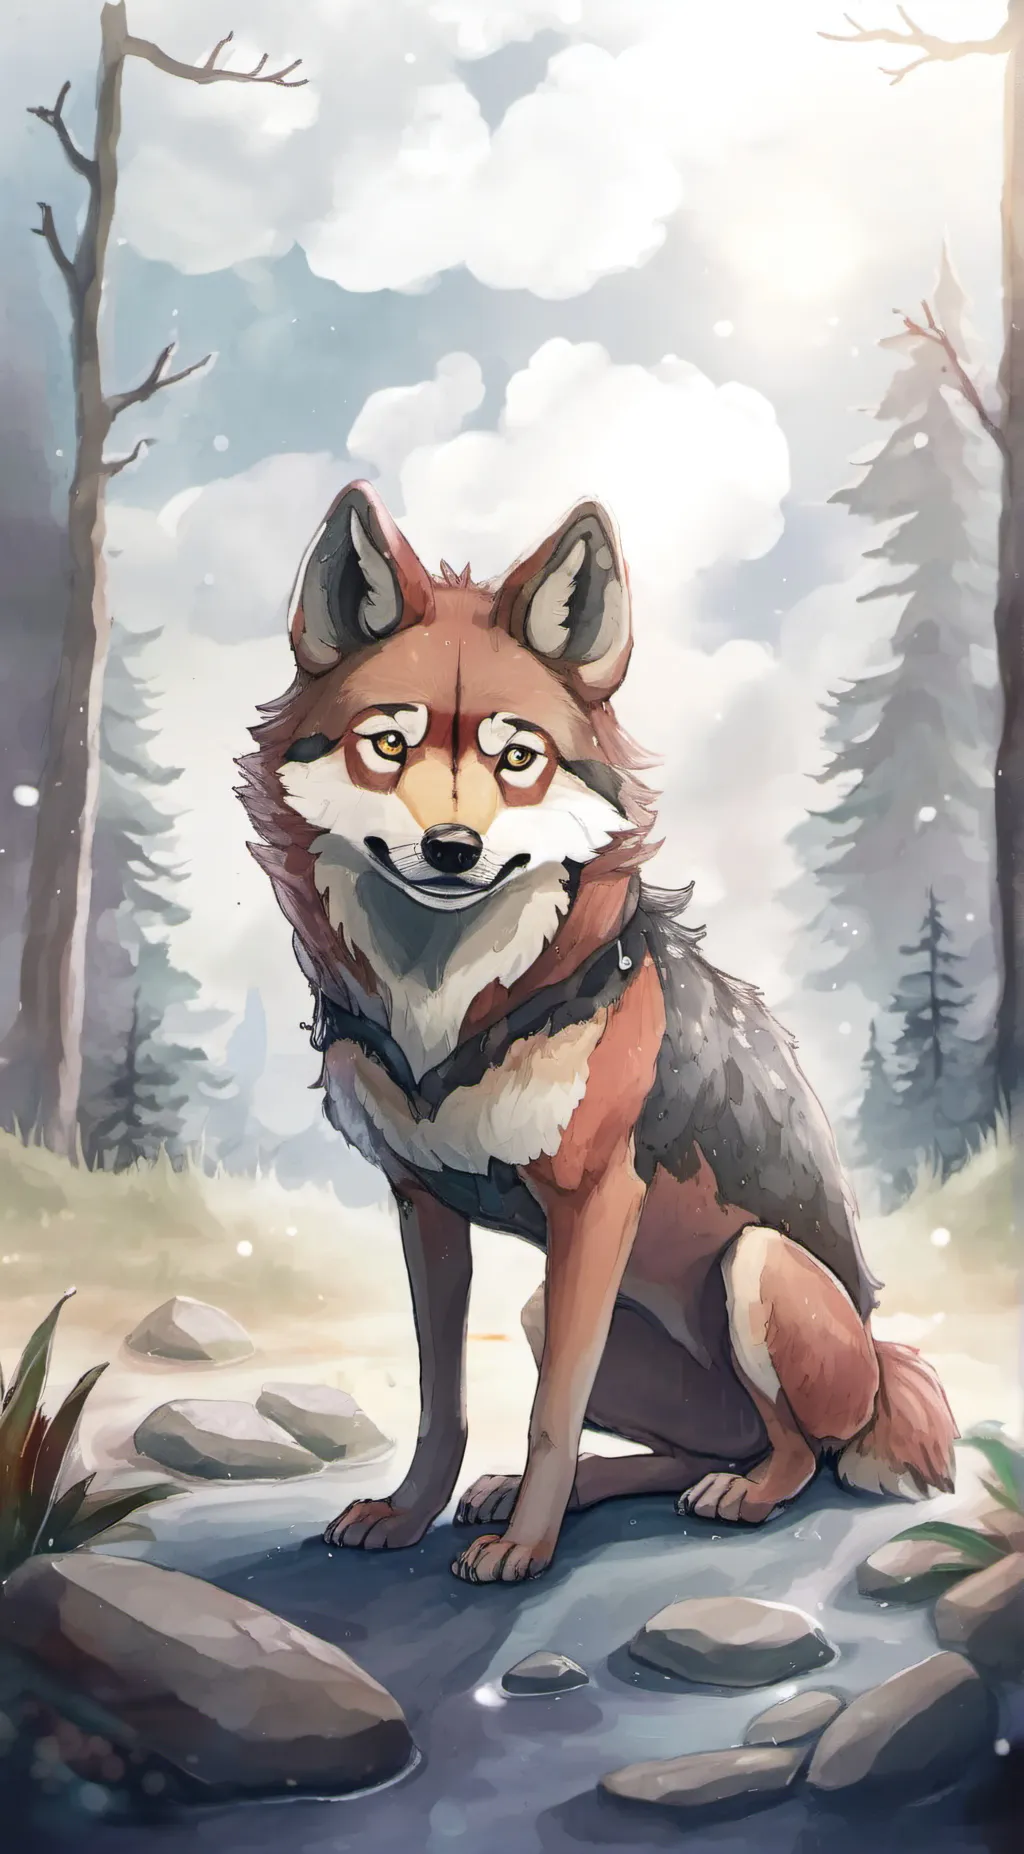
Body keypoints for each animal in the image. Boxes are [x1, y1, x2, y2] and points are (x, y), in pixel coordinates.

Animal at [239, 481, 957, 1585]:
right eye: (389, 744)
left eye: (517, 758)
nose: (453, 848)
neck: (452, 1010)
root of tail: (882, 1366)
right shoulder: (422, 1207)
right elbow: (442, 1400)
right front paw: (409, 1514)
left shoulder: (594, 1204)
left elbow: (549, 1413)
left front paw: (522, 1551)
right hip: (550, 1313)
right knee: (696, 1446)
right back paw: (575, 1490)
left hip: (752, 1270)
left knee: (797, 1450)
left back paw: (739, 1495)